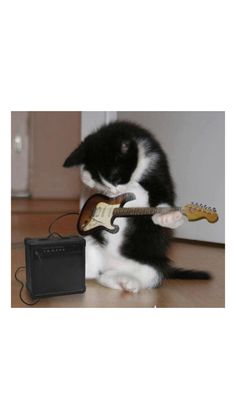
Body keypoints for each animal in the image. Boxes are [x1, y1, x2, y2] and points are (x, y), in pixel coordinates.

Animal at [63, 120, 210, 294]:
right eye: (100, 182)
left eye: (116, 178)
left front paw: (168, 217)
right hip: (89, 244)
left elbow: (162, 197)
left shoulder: (159, 171)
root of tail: (107, 266)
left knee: (148, 275)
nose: (113, 192)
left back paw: (126, 281)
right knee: (91, 270)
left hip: (153, 264)